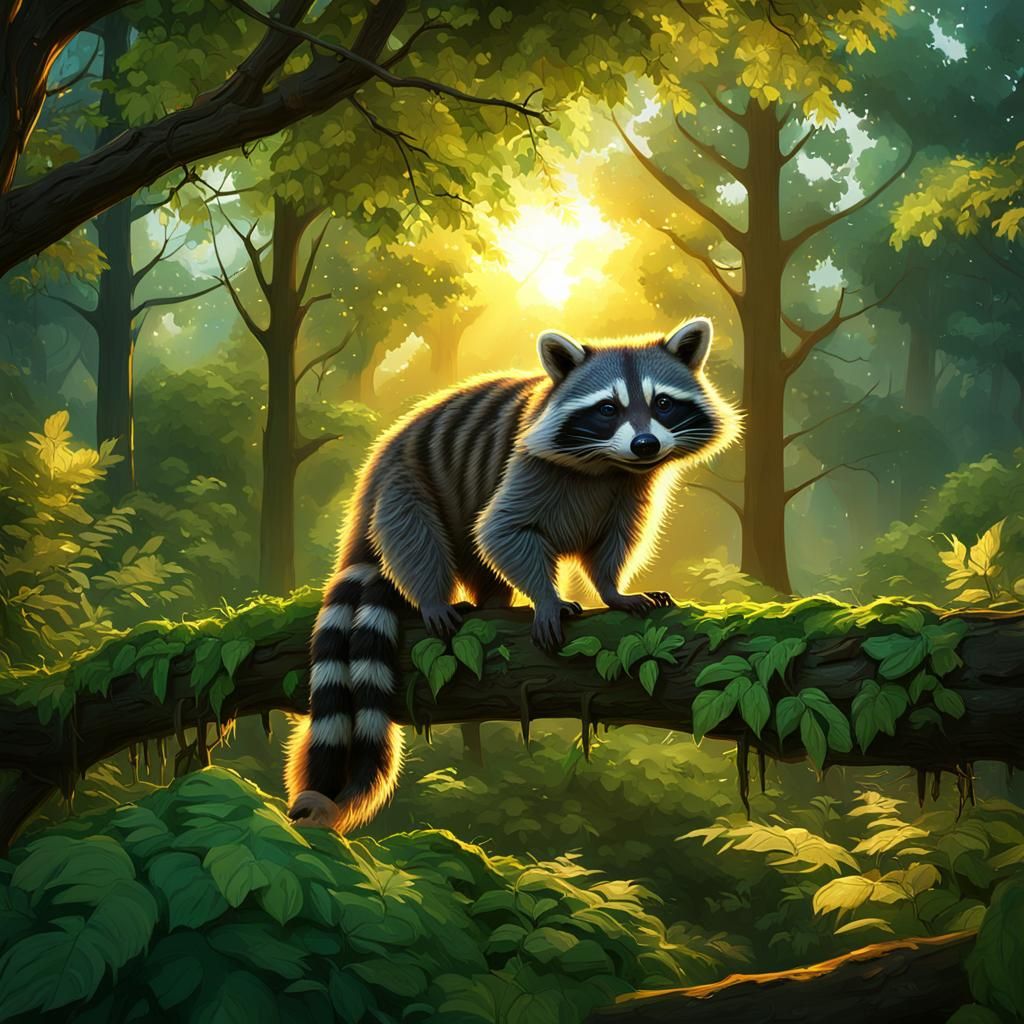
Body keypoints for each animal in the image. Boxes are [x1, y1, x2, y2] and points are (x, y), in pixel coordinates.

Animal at [285, 317, 740, 831]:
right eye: (608, 409)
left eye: (662, 402)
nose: (646, 445)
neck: (610, 462)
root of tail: (366, 487)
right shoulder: (524, 464)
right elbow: (502, 530)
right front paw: (546, 598)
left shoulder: (631, 485)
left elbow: (615, 542)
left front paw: (612, 590)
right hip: (404, 483)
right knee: (415, 536)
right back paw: (432, 597)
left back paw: (492, 602)